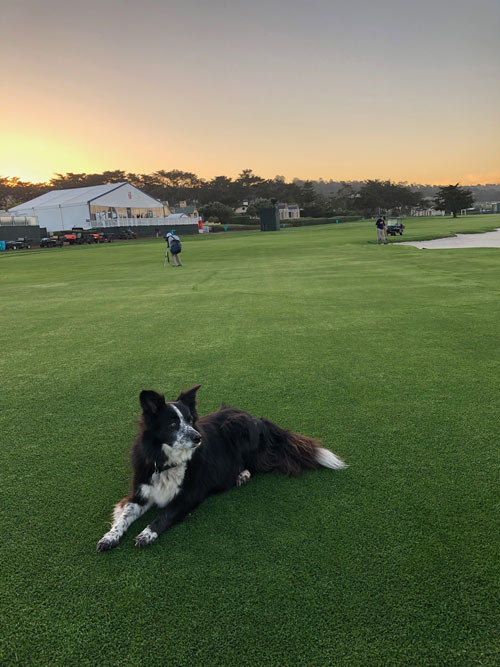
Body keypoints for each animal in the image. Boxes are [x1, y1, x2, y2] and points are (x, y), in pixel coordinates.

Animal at [97, 384, 348, 552]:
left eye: (190, 420)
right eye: (173, 424)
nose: (198, 437)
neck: (168, 462)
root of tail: (256, 418)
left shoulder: (188, 496)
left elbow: (164, 516)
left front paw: (147, 534)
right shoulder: (140, 493)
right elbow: (124, 516)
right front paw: (110, 537)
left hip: (235, 426)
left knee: (257, 464)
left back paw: (242, 475)